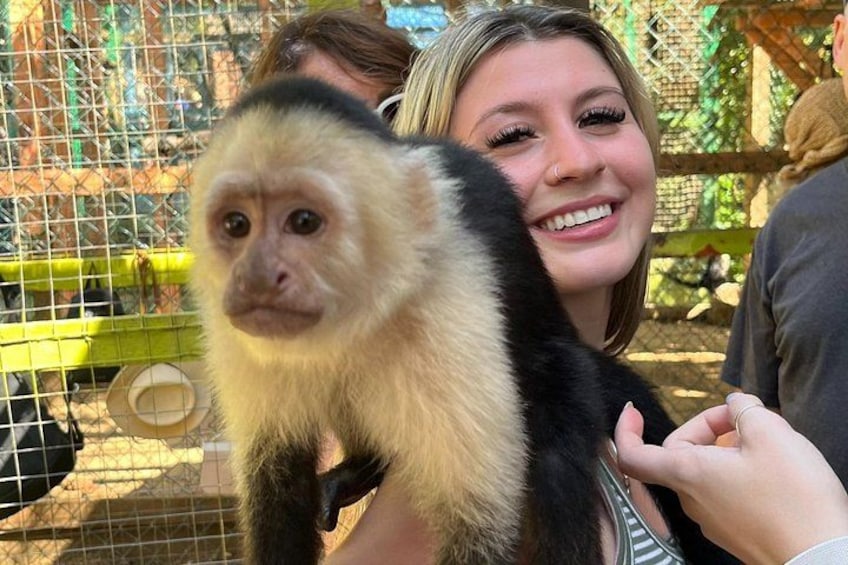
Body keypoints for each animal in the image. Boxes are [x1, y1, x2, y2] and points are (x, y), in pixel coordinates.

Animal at [189, 76, 737, 564]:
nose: (258, 277)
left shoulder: (448, 299)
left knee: (553, 412)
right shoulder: (232, 328)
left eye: (304, 221)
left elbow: (479, 514)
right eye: (236, 224)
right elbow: (274, 477)